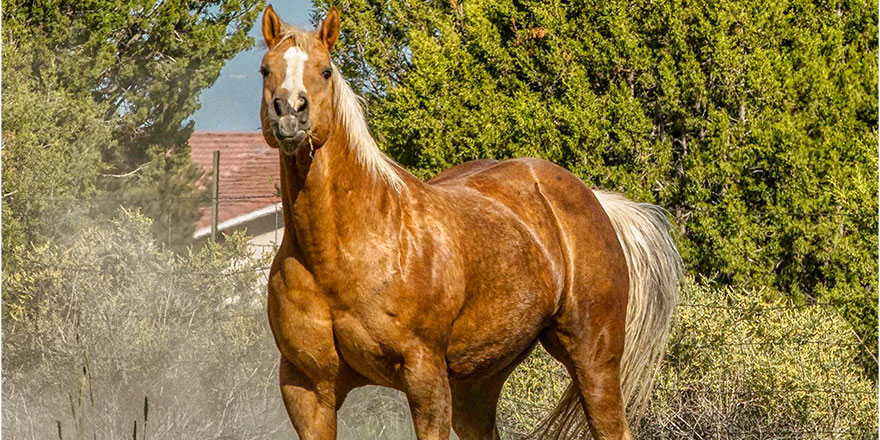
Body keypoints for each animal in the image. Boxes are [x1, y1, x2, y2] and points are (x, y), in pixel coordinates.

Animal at [258, 5, 684, 438]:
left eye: (325, 70)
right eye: (266, 69)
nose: (289, 112)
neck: (341, 254)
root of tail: (595, 200)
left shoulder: (424, 375)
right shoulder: (307, 390)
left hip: (594, 359)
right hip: (478, 380)